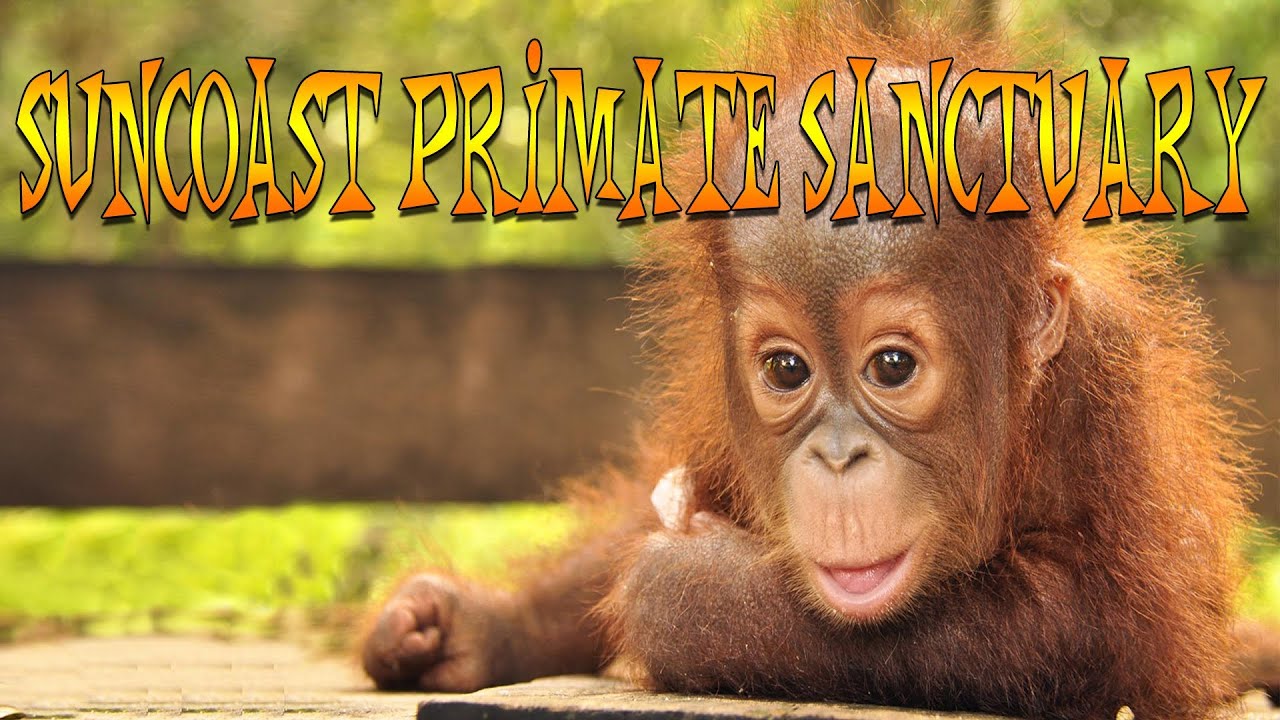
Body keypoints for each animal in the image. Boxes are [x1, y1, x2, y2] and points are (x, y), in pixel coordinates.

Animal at [361, 5, 1259, 719]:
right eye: (786, 372)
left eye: (892, 367)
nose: (837, 458)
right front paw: (464, 623)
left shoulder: (1098, 378)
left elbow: (1093, 622)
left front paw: (686, 588)